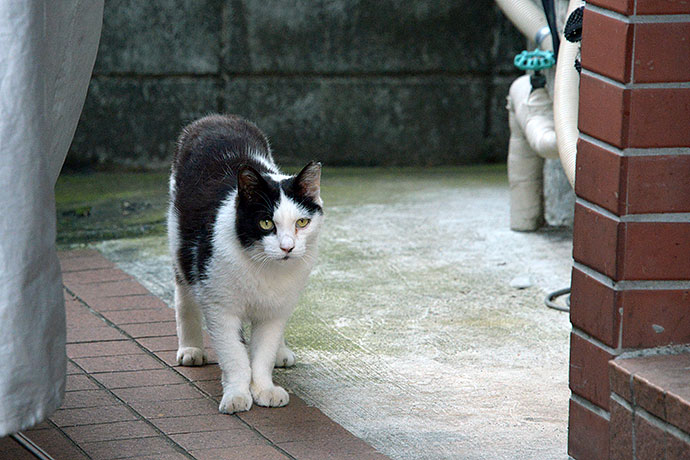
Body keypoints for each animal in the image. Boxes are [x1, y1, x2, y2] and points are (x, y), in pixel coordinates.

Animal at [169, 114, 326, 414]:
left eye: (302, 222)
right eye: (265, 223)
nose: (287, 247)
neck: (263, 267)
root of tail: (216, 118)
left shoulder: (275, 311)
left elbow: (262, 354)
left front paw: (264, 389)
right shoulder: (220, 307)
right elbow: (235, 356)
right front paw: (237, 395)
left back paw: (281, 352)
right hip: (179, 243)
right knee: (184, 296)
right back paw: (191, 349)